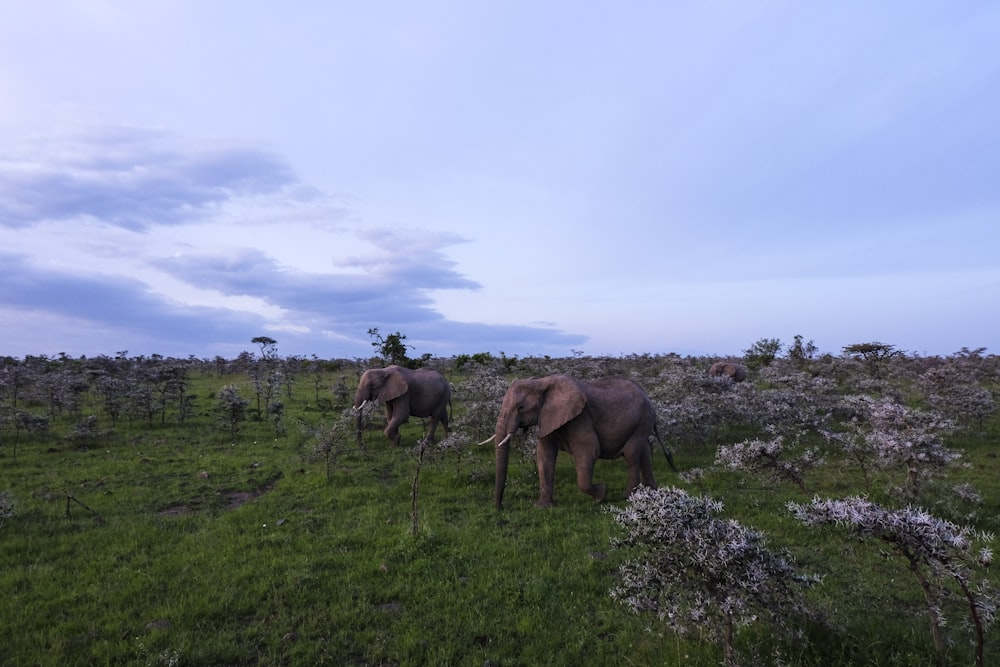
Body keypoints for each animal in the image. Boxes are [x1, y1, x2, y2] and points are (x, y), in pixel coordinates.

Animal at [480, 376, 676, 512]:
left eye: (521, 408)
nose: (501, 508)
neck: (541, 382)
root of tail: (648, 397)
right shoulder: (548, 418)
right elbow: (544, 455)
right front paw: (543, 507)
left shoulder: (581, 418)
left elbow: (589, 451)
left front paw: (601, 495)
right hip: (642, 423)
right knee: (644, 452)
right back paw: (651, 491)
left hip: (641, 421)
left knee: (631, 454)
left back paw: (628, 496)